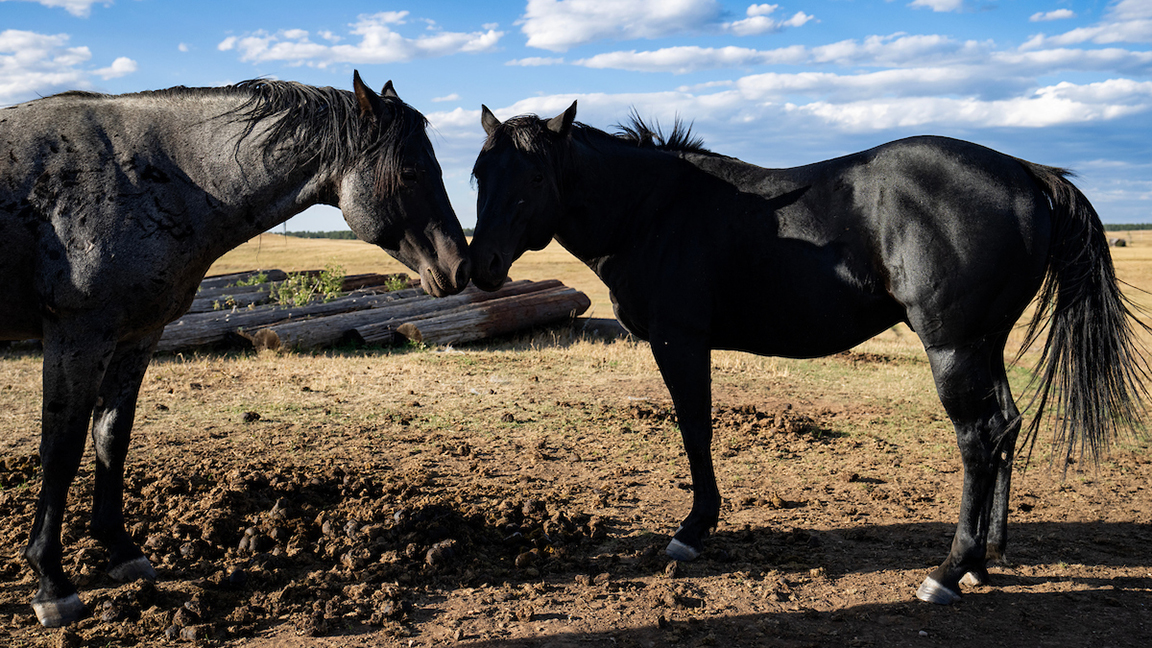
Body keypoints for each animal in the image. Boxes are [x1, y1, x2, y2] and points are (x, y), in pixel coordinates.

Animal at [0, 71, 470, 626]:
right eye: (411, 171)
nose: (461, 268)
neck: (151, 177)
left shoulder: (137, 336)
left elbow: (111, 437)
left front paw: (121, 552)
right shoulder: (78, 336)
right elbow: (61, 450)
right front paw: (52, 582)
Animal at [469, 102, 1149, 605]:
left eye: (535, 177)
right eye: (479, 174)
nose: (481, 267)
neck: (654, 209)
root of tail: (1026, 171)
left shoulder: (679, 340)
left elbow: (695, 428)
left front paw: (694, 530)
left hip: (953, 347)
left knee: (979, 440)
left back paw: (948, 572)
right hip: (987, 342)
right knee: (1006, 426)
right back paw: (986, 560)